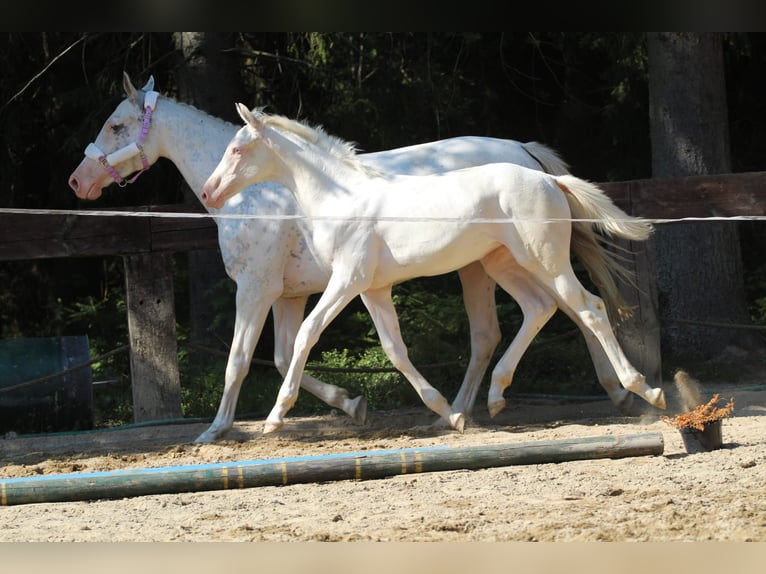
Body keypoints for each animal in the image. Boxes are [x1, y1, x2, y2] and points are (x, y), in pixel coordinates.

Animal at [69, 72, 616, 440]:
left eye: (116, 126)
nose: (78, 181)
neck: (264, 193)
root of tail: (525, 154)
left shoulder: (257, 288)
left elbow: (240, 360)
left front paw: (218, 429)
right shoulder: (291, 295)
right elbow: (285, 355)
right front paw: (352, 405)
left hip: (505, 262)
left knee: (566, 309)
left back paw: (613, 389)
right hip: (487, 265)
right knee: (509, 326)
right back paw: (463, 410)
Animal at [202, 106, 664, 434]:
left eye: (237, 148)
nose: (209, 192)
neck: (342, 198)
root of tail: (551, 181)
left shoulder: (345, 281)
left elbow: (305, 335)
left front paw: (275, 417)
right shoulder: (372, 289)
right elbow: (394, 349)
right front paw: (446, 412)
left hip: (543, 259)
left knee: (589, 308)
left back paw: (645, 389)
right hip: (504, 263)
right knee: (539, 309)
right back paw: (494, 397)